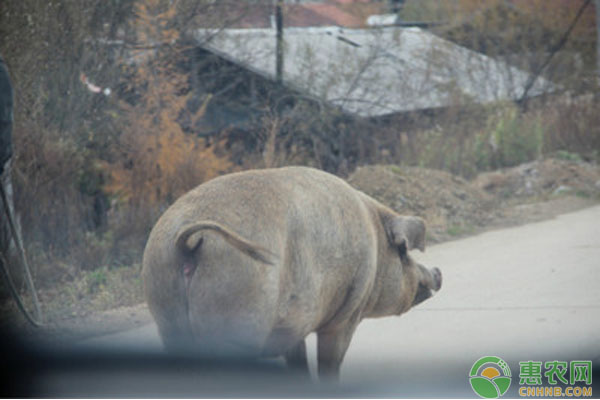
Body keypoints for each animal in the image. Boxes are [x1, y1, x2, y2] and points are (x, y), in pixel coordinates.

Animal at [141, 165, 440, 378]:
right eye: (404, 252)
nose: (437, 272)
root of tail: (187, 242)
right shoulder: (345, 317)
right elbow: (330, 364)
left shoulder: (292, 327)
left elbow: (298, 362)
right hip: (236, 309)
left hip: (166, 311)